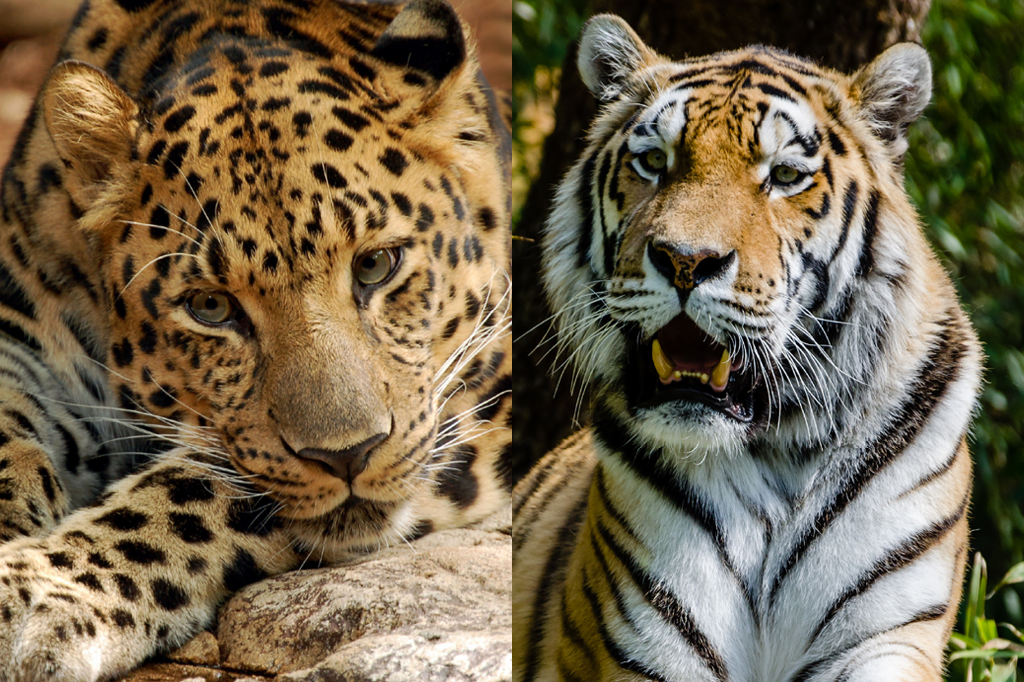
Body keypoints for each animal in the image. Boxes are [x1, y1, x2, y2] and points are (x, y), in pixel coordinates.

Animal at [0, 0, 511, 679]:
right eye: (211, 307)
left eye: (377, 265)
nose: (349, 456)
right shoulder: (25, 325)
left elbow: (191, 495)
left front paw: (34, 593)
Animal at [513, 14, 981, 682]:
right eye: (653, 162)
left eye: (784, 176)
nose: (686, 260)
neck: (778, 447)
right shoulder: (648, 638)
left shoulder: (887, 633)